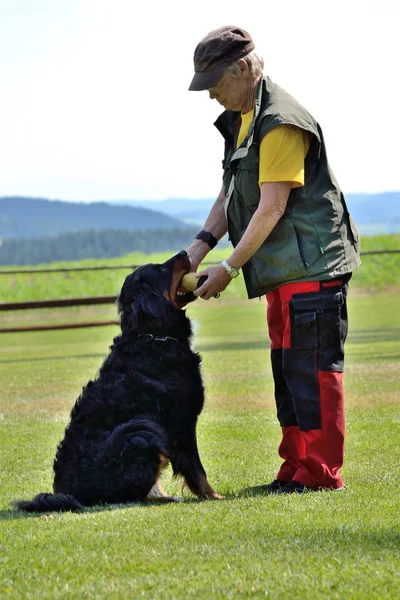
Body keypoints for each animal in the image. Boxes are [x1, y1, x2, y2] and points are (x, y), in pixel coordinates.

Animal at [14, 251, 222, 512]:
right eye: (161, 269)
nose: (185, 252)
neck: (153, 336)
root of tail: (65, 493)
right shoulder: (181, 423)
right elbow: (197, 469)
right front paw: (215, 496)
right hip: (139, 432)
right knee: (131, 496)